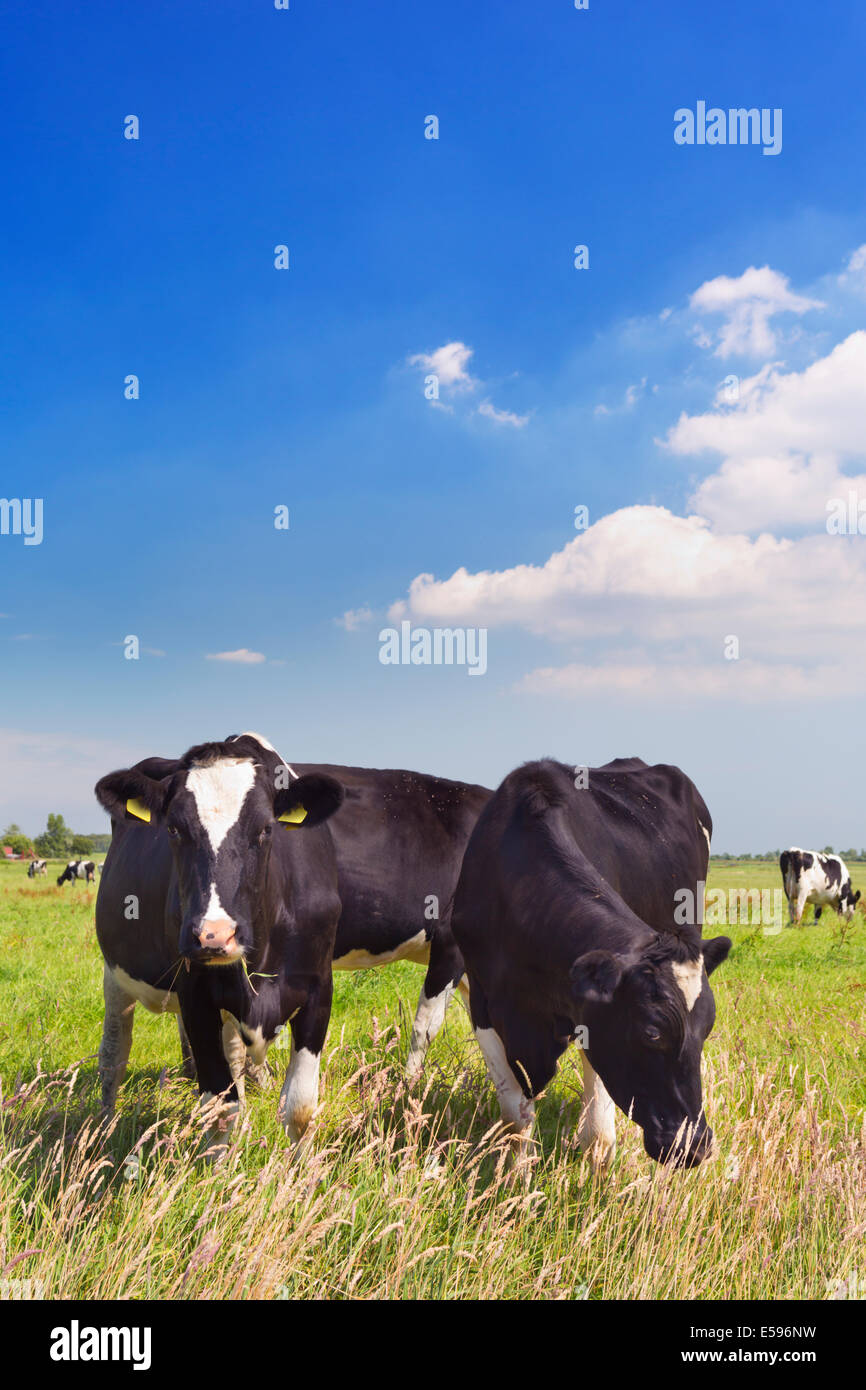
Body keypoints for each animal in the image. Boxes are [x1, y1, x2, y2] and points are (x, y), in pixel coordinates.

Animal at [94, 734, 344, 1154]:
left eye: (266, 828)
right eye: (173, 829)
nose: (213, 936)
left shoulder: (317, 988)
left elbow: (300, 1107)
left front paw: (304, 1167)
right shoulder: (196, 995)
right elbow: (220, 1106)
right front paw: (217, 1167)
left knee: (236, 1056)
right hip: (116, 975)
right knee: (114, 1052)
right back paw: (102, 1130)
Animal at [452, 758, 731, 1172]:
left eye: (707, 1029)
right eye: (652, 1032)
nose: (695, 1146)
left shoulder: (589, 1015)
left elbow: (598, 1130)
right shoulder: (482, 999)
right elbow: (515, 1114)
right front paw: (516, 1174)